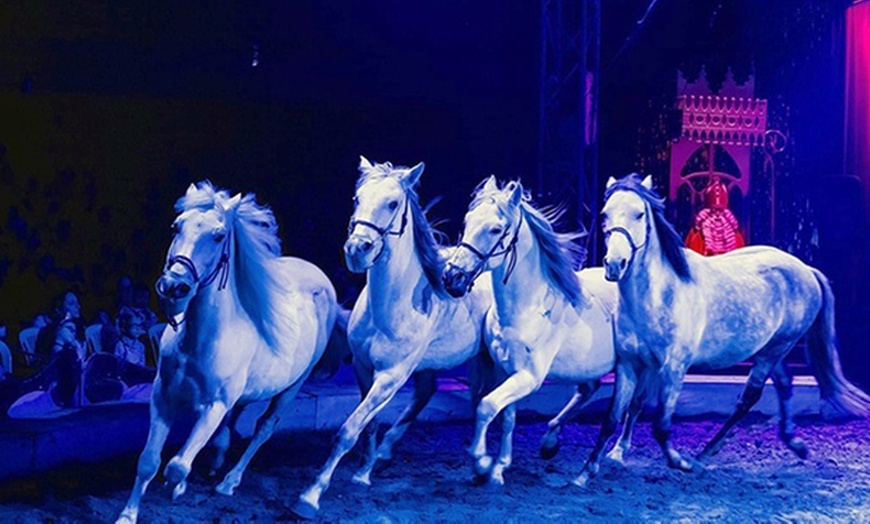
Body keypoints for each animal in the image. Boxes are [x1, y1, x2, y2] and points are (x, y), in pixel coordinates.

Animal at [117, 182, 345, 524]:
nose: (173, 287)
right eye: (175, 226)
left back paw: (229, 482)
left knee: (264, 427)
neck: (197, 340)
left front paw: (177, 487)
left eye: (219, 235)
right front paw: (128, 515)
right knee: (234, 419)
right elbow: (148, 462)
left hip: (292, 386)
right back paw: (217, 461)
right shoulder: (163, 396)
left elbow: (176, 466)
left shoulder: (214, 404)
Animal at [292, 158, 494, 518]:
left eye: (392, 203)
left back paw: (486, 465)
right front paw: (363, 472)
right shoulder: (363, 367)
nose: (357, 250)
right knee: (433, 395)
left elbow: (348, 430)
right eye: (357, 198)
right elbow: (369, 423)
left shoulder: (391, 376)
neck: (388, 308)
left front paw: (310, 496)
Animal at [441, 176, 639, 485]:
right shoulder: (507, 371)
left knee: (629, 408)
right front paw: (499, 468)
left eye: (495, 229)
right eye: (467, 220)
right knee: (589, 389)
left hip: (631, 367)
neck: (523, 311)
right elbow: (506, 417)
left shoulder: (528, 377)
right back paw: (550, 442)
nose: (452, 277)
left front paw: (481, 462)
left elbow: (486, 406)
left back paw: (612, 456)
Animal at [575, 173, 870, 487]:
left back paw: (704, 456)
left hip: (776, 349)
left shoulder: (672, 368)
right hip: (771, 349)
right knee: (785, 384)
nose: (614, 264)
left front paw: (682, 463)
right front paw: (586, 472)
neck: (656, 296)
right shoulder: (630, 365)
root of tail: (806, 270)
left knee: (748, 399)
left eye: (639, 214)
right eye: (605, 214)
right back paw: (794, 444)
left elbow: (661, 426)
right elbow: (612, 418)